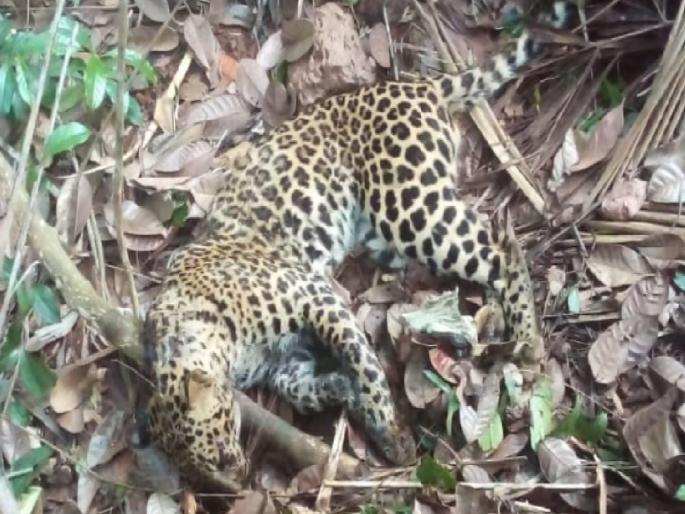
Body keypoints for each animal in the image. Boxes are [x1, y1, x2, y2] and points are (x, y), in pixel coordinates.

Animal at [141, 1, 573, 490]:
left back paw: (527, 341)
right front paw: (340, 390)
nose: (238, 483)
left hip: (408, 205)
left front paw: (390, 435)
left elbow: (363, 363)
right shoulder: (286, 362)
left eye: (215, 450)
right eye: (197, 472)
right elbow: (302, 389)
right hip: (381, 232)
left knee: (499, 247)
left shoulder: (316, 296)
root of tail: (416, 85)